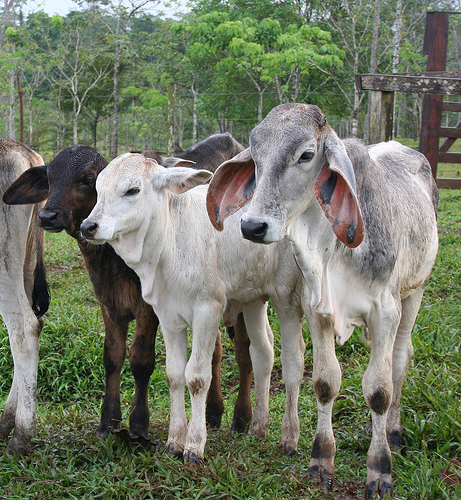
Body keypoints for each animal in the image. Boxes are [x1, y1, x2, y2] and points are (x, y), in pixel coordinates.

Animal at [81, 154, 306, 462]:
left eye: (132, 190)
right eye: (97, 188)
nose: (88, 226)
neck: (169, 241)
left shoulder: (207, 309)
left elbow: (198, 376)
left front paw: (194, 445)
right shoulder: (166, 314)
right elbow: (175, 375)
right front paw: (174, 440)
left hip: (287, 297)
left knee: (293, 360)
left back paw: (289, 438)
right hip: (253, 299)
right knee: (263, 353)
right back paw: (259, 427)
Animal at [208, 103, 438, 498]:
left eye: (306, 155)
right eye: (255, 156)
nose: (252, 226)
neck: (333, 251)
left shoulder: (385, 312)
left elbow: (379, 390)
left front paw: (380, 470)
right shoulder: (317, 313)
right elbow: (325, 382)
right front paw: (321, 459)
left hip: (414, 294)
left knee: (398, 360)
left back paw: (392, 432)